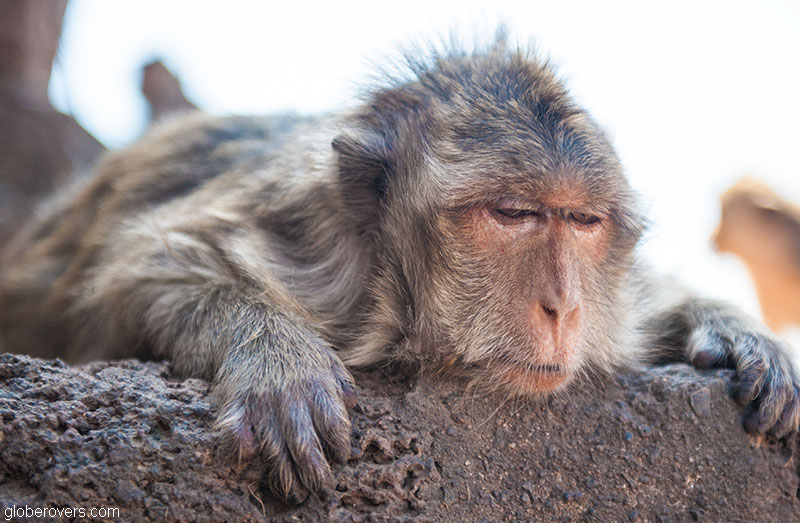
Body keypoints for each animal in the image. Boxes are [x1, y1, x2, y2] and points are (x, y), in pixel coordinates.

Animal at [1, 38, 799, 505]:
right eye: (514, 213)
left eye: (582, 221)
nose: (564, 308)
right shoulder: (306, 245)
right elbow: (133, 273)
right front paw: (278, 361)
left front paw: (741, 335)